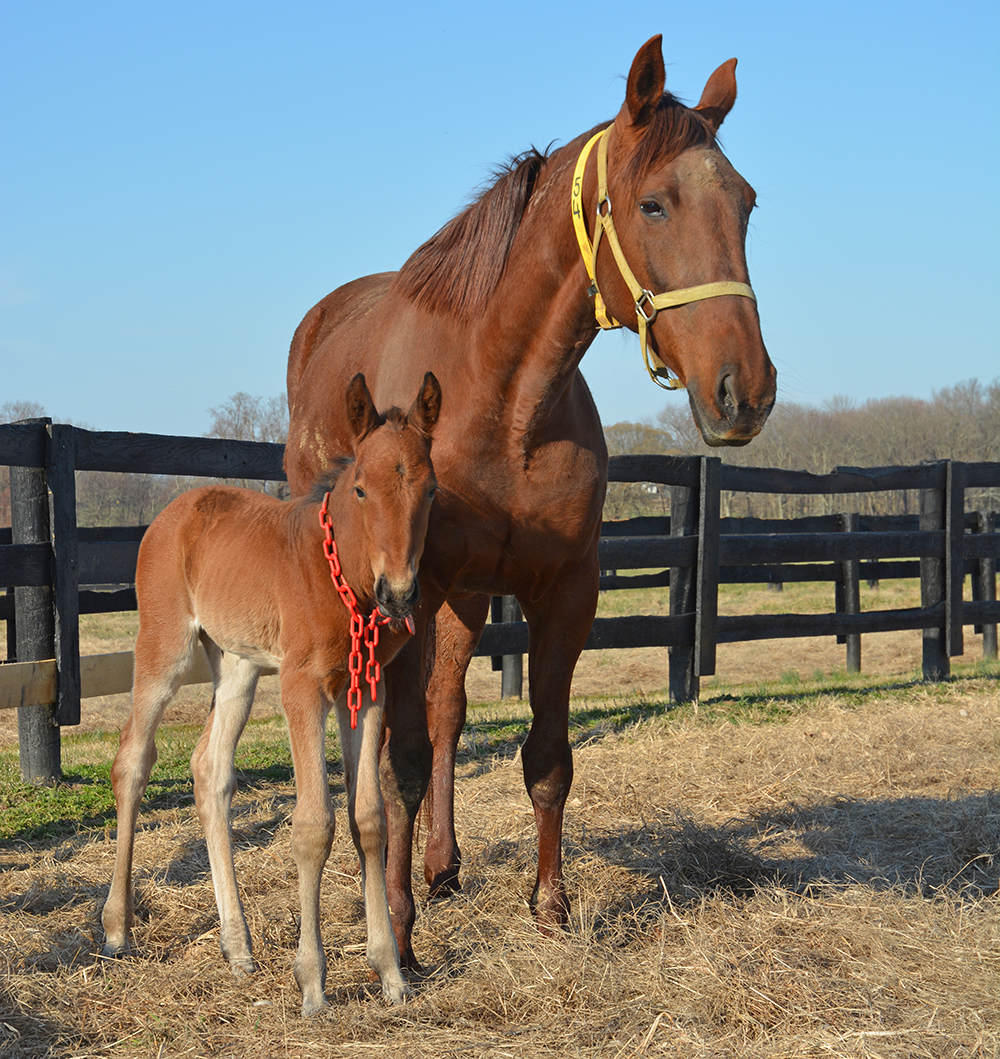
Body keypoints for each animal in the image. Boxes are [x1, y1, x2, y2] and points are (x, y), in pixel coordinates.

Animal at [102, 372, 441, 1016]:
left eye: (430, 488)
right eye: (361, 489)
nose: (399, 593)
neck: (344, 580)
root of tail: (172, 512)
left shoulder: (367, 689)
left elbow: (369, 820)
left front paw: (390, 974)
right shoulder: (300, 687)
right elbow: (314, 825)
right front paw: (312, 983)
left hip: (236, 668)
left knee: (209, 770)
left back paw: (238, 949)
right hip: (165, 650)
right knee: (132, 759)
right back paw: (116, 930)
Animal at [283, 35, 777, 969]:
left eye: (747, 201)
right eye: (654, 204)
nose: (746, 391)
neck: (501, 393)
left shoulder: (562, 592)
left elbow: (544, 754)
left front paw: (549, 906)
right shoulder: (411, 590)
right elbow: (399, 759)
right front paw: (396, 930)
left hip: (470, 599)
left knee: (447, 707)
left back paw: (442, 862)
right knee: (383, 724)